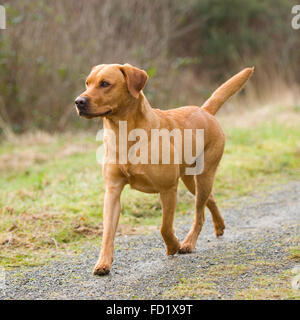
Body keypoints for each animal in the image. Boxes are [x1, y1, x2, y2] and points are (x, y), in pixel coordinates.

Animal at [75, 63, 253, 276]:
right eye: (87, 83)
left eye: (105, 84)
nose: (78, 101)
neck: (124, 133)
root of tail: (205, 111)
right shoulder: (112, 191)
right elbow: (108, 232)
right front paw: (103, 263)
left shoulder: (168, 189)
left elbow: (164, 227)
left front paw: (173, 246)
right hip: (190, 180)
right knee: (210, 199)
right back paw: (219, 225)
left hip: (204, 175)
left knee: (199, 213)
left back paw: (188, 243)